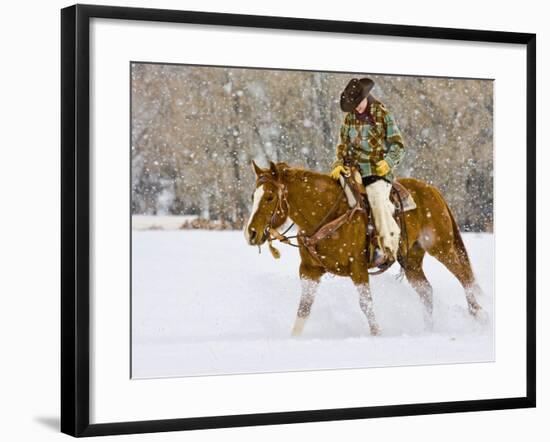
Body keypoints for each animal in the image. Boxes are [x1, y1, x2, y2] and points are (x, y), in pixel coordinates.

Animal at [244, 161, 486, 336]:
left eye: (269, 197)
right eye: (253, 195)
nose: (251, 233)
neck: (327, 215)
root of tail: (433, 190)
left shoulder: (358, 269)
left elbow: (366, 304)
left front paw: (377, 334)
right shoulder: (309, 270)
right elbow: (304, 307)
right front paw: (293, 338)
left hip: (442, 247)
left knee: (465, 277)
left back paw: (480, 316)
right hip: (412, 261)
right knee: (427, 291)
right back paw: (429, 330)